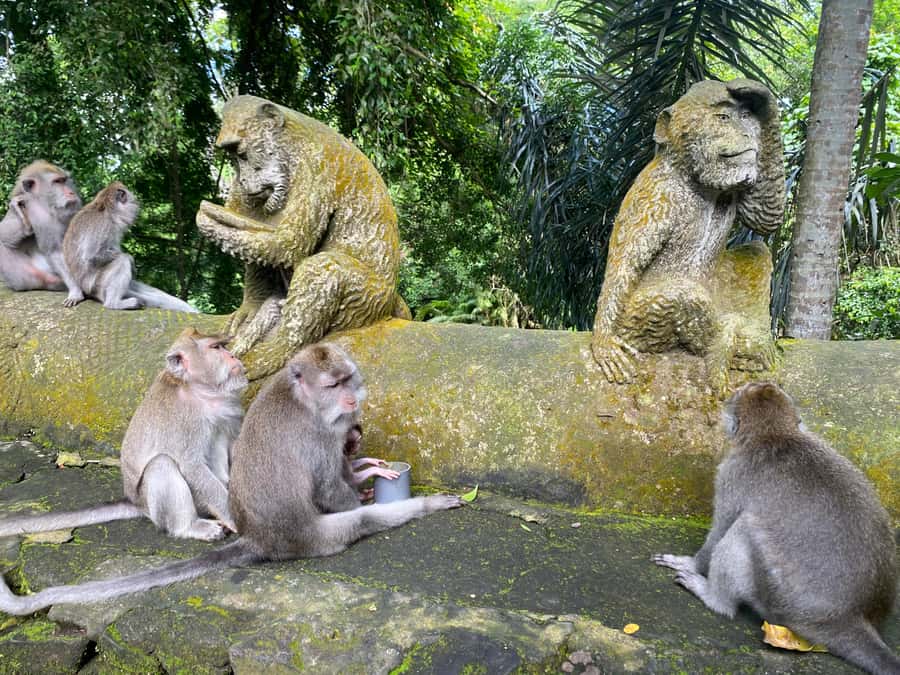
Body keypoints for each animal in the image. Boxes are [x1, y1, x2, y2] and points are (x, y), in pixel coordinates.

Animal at [0, 161, 85, 304]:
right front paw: (76, 291)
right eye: (57, 182)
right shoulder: (38, 214)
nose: (71, 192)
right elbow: (55, 251)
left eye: (64, 180)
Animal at [0, 328, 247, 542]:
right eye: (216, 347)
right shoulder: (185, 420)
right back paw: (190, 527)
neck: (200, 391)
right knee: (162, 464)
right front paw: (236, 518)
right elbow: (191, 466)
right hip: (160, 502)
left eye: (223, 346)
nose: (233, 355)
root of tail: (135, 502)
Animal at [62, 181, 198, 312]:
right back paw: (114, 303)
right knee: (121, 261)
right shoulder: (103, 224)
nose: (136, 202)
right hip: (95, 285)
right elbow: (92, 255)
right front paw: (131, 259)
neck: (107, 210)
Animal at [653, 382, 899, 675]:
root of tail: (847, 617)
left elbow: (720, 530)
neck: (775, 435)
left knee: (743, 529)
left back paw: (715, 599)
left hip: (779, 602)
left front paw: (690, 563)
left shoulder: (732, 474)